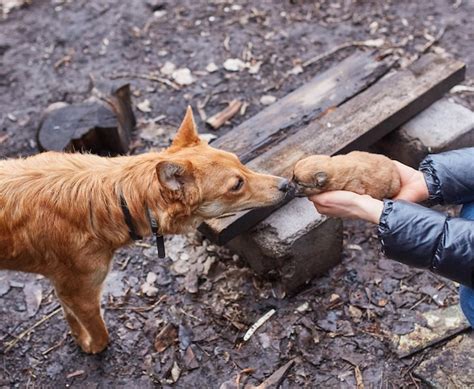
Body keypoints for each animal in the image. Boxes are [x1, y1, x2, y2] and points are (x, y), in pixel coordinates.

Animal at [0, 105, 290, 352]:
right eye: (237, 185)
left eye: (240, 162)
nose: (287, 184)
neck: (116, 199)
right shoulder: (82, 294)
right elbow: (100, 335)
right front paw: (90, 346)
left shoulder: (65, 289)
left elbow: (69, 316)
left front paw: (77, 336)